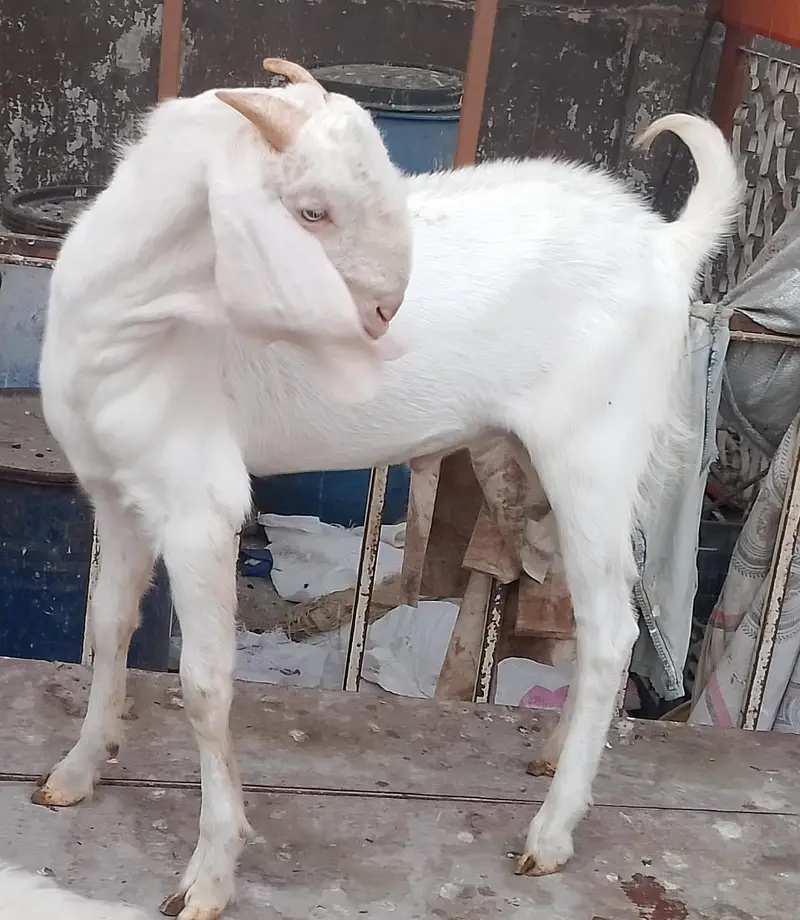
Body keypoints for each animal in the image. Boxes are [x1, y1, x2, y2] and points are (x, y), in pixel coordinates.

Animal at [35, 62, 741, 918]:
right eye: (313, 210)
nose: (384, 315)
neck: (132, 319)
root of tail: (666, 246)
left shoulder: (200, 503)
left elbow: (204, 688)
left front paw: (209, 873)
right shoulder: (117, 489)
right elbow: (108, 624)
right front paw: (77, 768)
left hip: (594, 453)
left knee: (612, 630)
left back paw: (551, 832)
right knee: (594, 613)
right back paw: (552, 754)